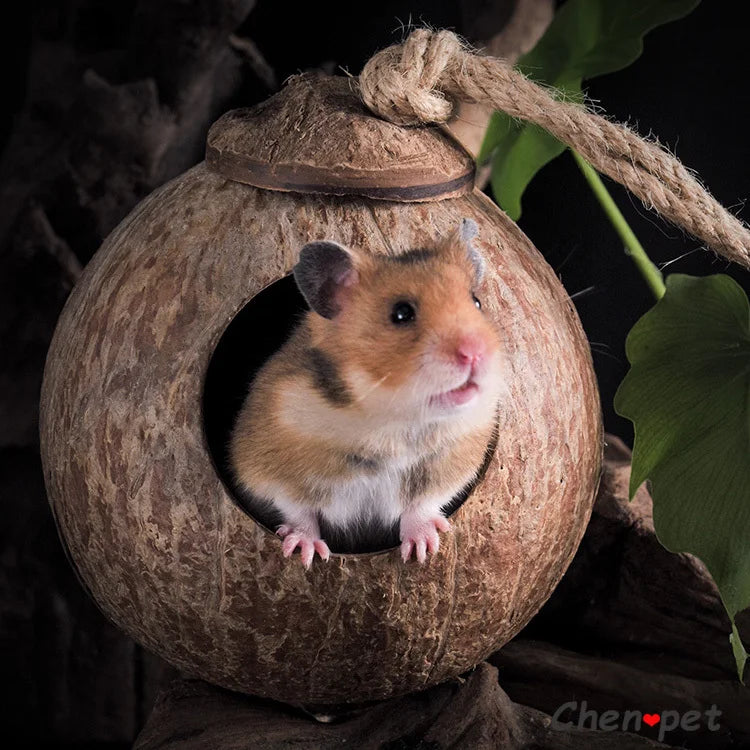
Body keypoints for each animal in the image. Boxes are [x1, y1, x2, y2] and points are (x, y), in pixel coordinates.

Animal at [234, 220, 506, 568]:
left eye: (476, 302)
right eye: (401, 313)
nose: (475, 354)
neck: (392, 419)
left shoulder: (451, 467)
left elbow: (423, 503)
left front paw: (423, 548)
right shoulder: (263, 465)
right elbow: (295, 507)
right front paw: (305, 552)